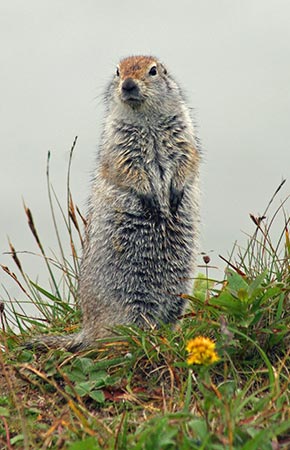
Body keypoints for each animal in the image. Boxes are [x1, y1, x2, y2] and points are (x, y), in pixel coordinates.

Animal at [27, 55, 201, 352]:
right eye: (117, 71)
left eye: (153, 71)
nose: (128, 84)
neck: (146, 120)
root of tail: (86, 329)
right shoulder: (117, 144)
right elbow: (126, 168)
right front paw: (152, 200)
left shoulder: (183, 132)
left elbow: (187, 159)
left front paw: (174, 195)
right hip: (129, 305)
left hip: (179, 294)